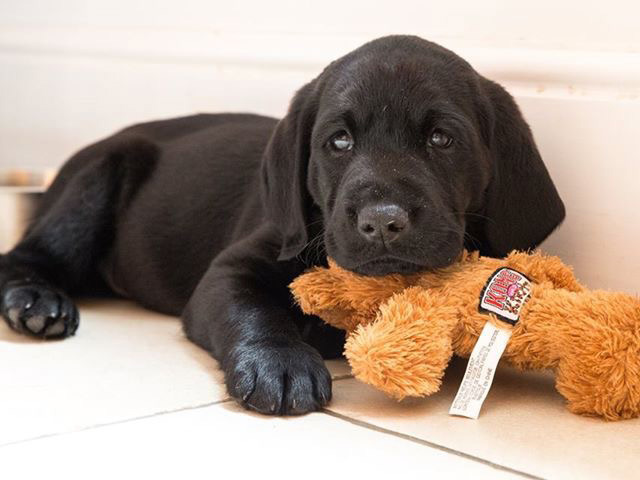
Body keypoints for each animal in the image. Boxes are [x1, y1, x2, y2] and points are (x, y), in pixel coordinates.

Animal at [0, 35, 564, 414]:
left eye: (442, 139)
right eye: (339, 141)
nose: (382, 222)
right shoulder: (230, 270)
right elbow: (253, 310)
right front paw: (281, 363)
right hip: (100, 177)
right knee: (26, 255)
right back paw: (37, 302)